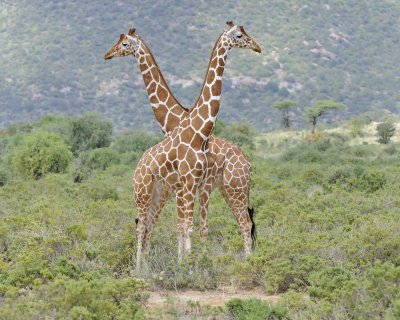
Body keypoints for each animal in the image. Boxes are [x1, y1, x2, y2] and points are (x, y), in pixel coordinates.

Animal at [104, 21, 260, 270]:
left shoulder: (193, 186)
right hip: (152, 190)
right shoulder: (185, 187)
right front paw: (189, 263)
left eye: (125, 43)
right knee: (143, 225)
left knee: (245, 222)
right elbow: (187, 227)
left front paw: (191, 263)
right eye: (239, 35)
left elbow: (191, 227)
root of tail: (248, 163)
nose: (108, 54)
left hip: (232, 188)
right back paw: (140, 268)